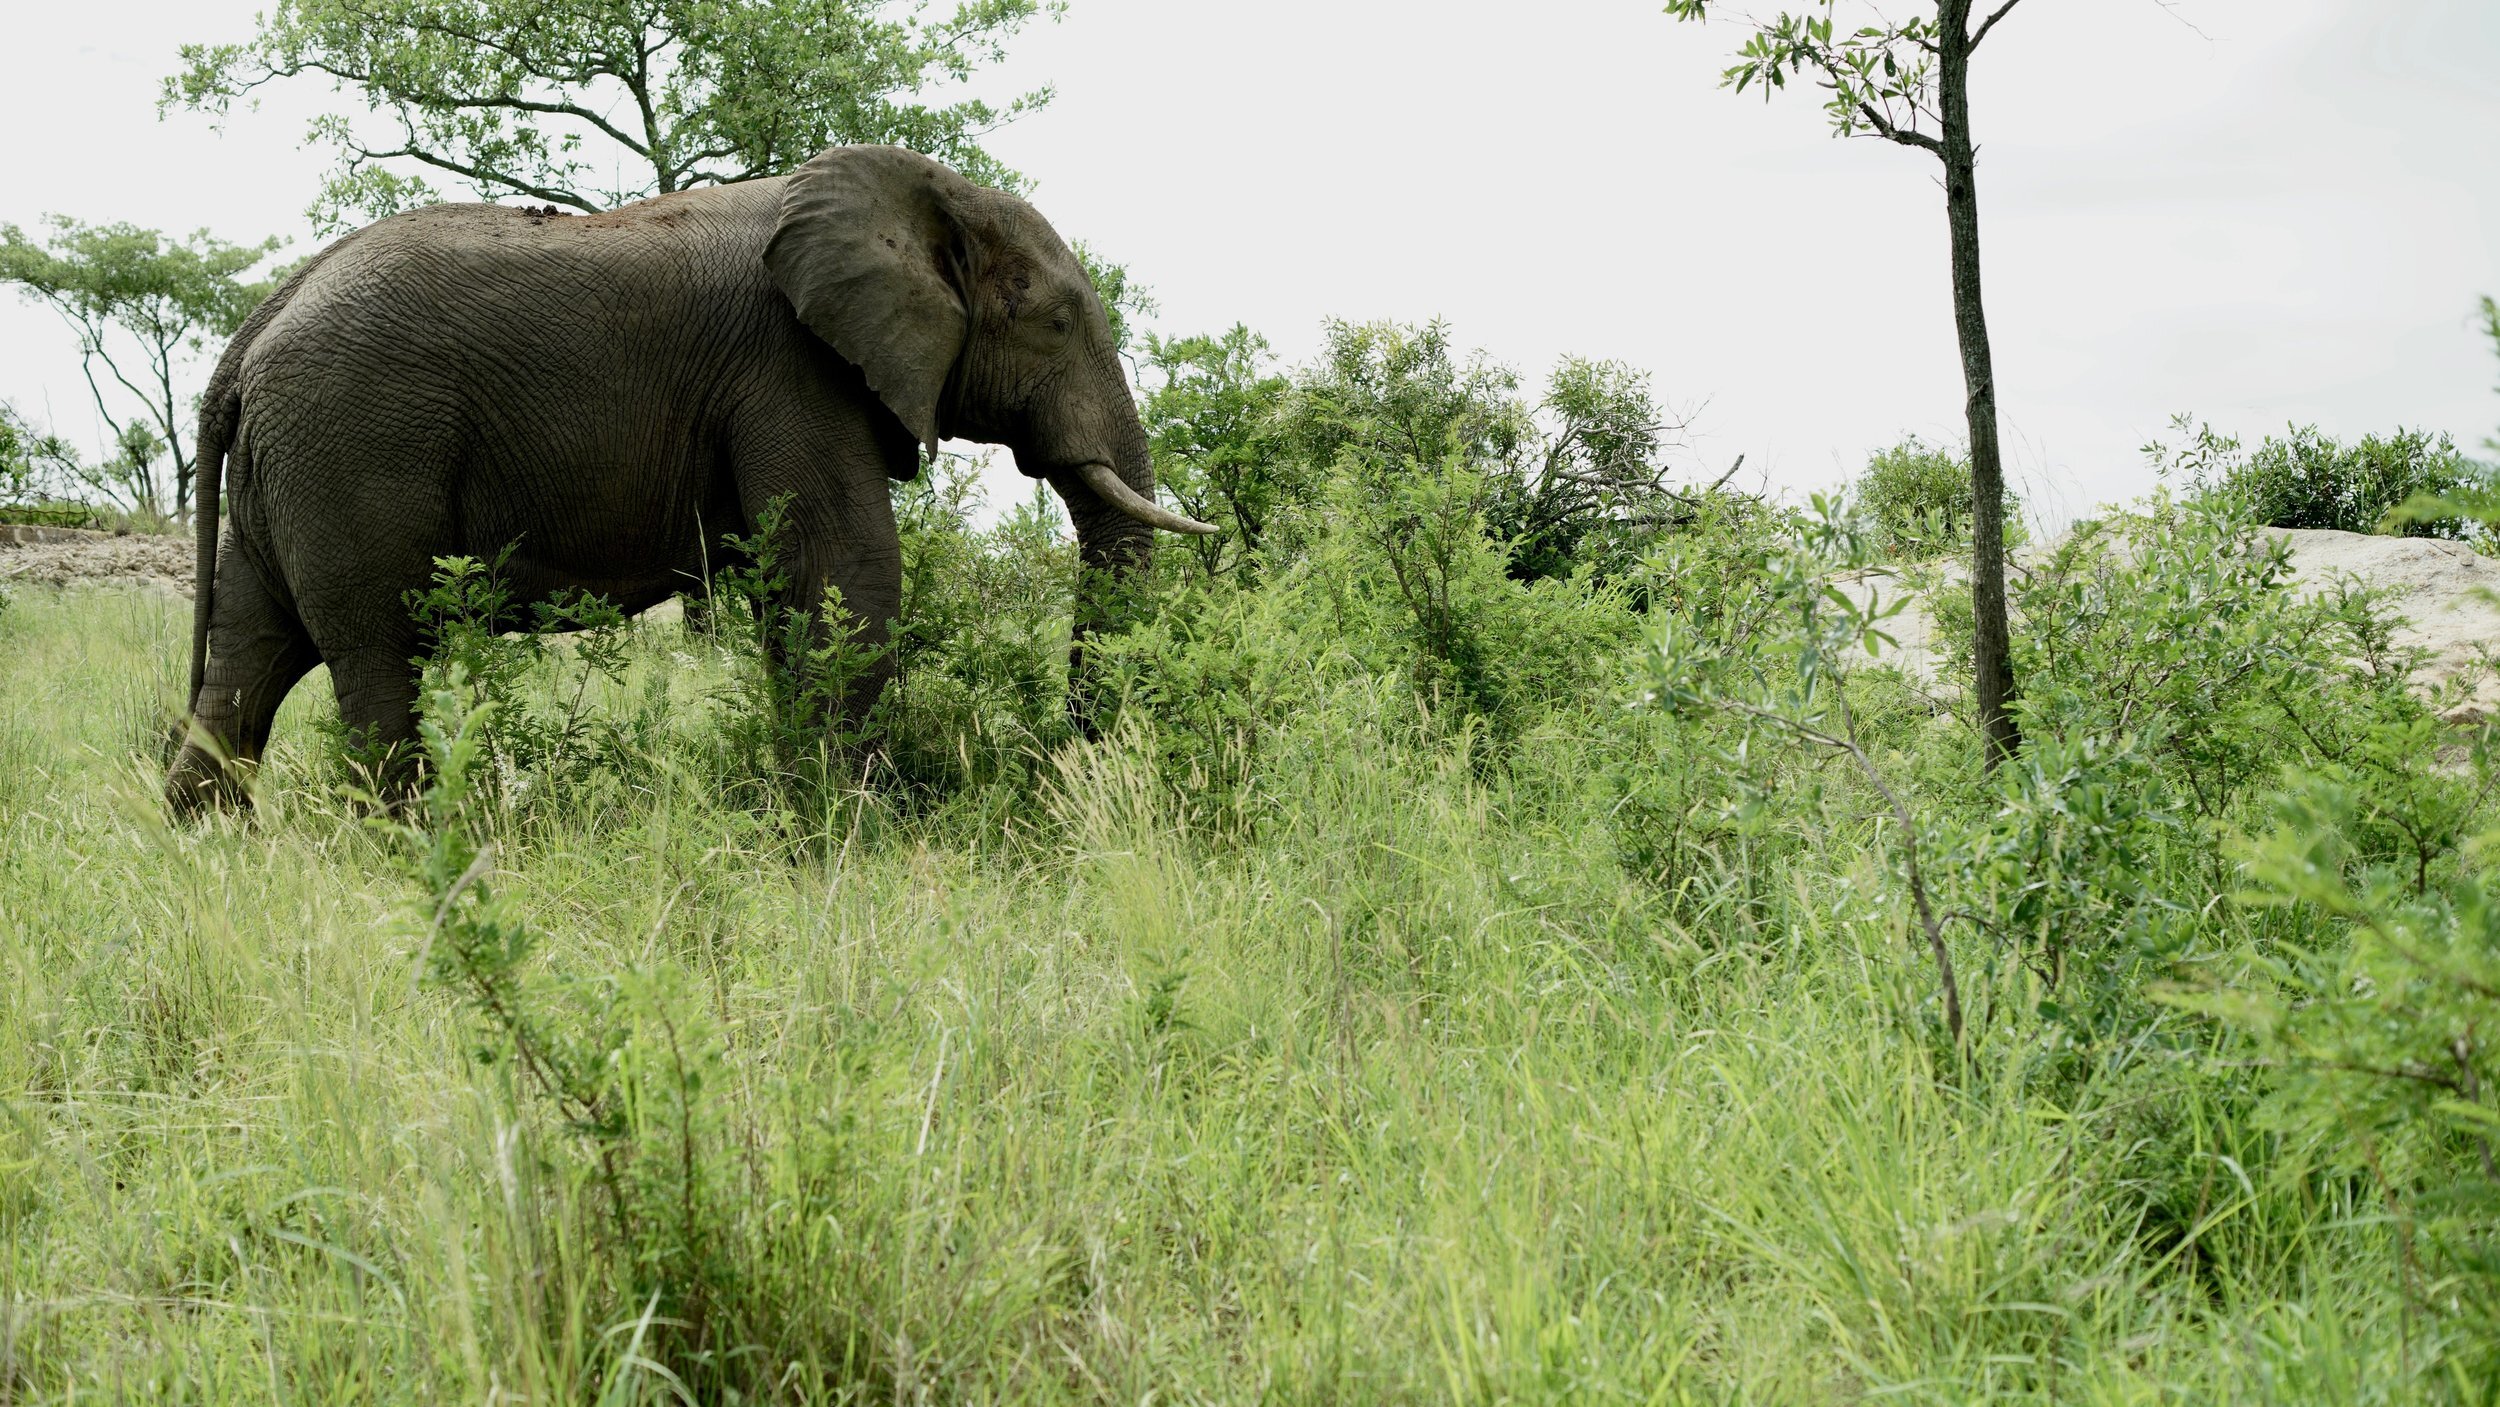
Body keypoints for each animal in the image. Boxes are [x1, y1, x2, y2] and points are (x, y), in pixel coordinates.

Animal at [164, 143, 1213, 814]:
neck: (921, 194)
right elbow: (851, 576)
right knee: (378, 656)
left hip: (287, 471)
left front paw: (807, 811)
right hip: (351, 450)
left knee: (249, 659)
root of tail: (251, 334)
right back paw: (417, 857)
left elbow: (798, 595)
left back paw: (208, 850)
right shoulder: (791, 368)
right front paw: (857, 826)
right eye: (1058, 324)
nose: (1074, 755)